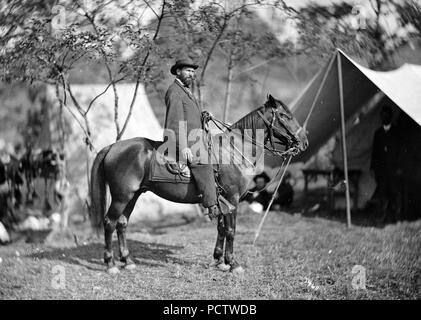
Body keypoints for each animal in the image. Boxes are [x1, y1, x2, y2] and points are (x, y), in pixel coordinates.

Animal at [88, 94, 306, 274]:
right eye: (285, 116)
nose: (304, 142)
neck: (233, 151)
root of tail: (113, 147)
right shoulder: (232, 198)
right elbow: (231, 230)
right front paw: (233, 264)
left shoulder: (222, 201)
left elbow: (221, 228)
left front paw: (219, 260)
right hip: (121, 196)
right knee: (109, 223)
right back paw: (111, 264)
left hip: (133, 196)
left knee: (122, 224)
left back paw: (128, 261)